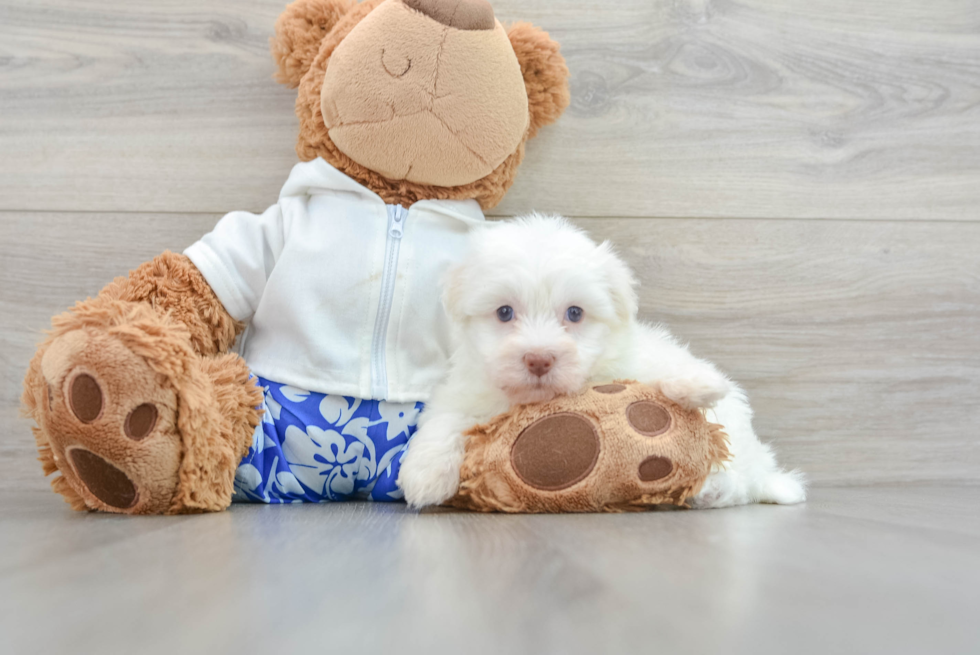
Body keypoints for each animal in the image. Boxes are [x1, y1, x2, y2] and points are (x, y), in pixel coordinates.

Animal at [398, 215, 804, 508]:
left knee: (741, 479)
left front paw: (696, 385)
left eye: (575, 313)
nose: (539, 360)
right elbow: (444, 419)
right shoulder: (466, 390)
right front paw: (425, 476)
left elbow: (664, 376)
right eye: (504, 312)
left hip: (740, 444)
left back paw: (712, 489)